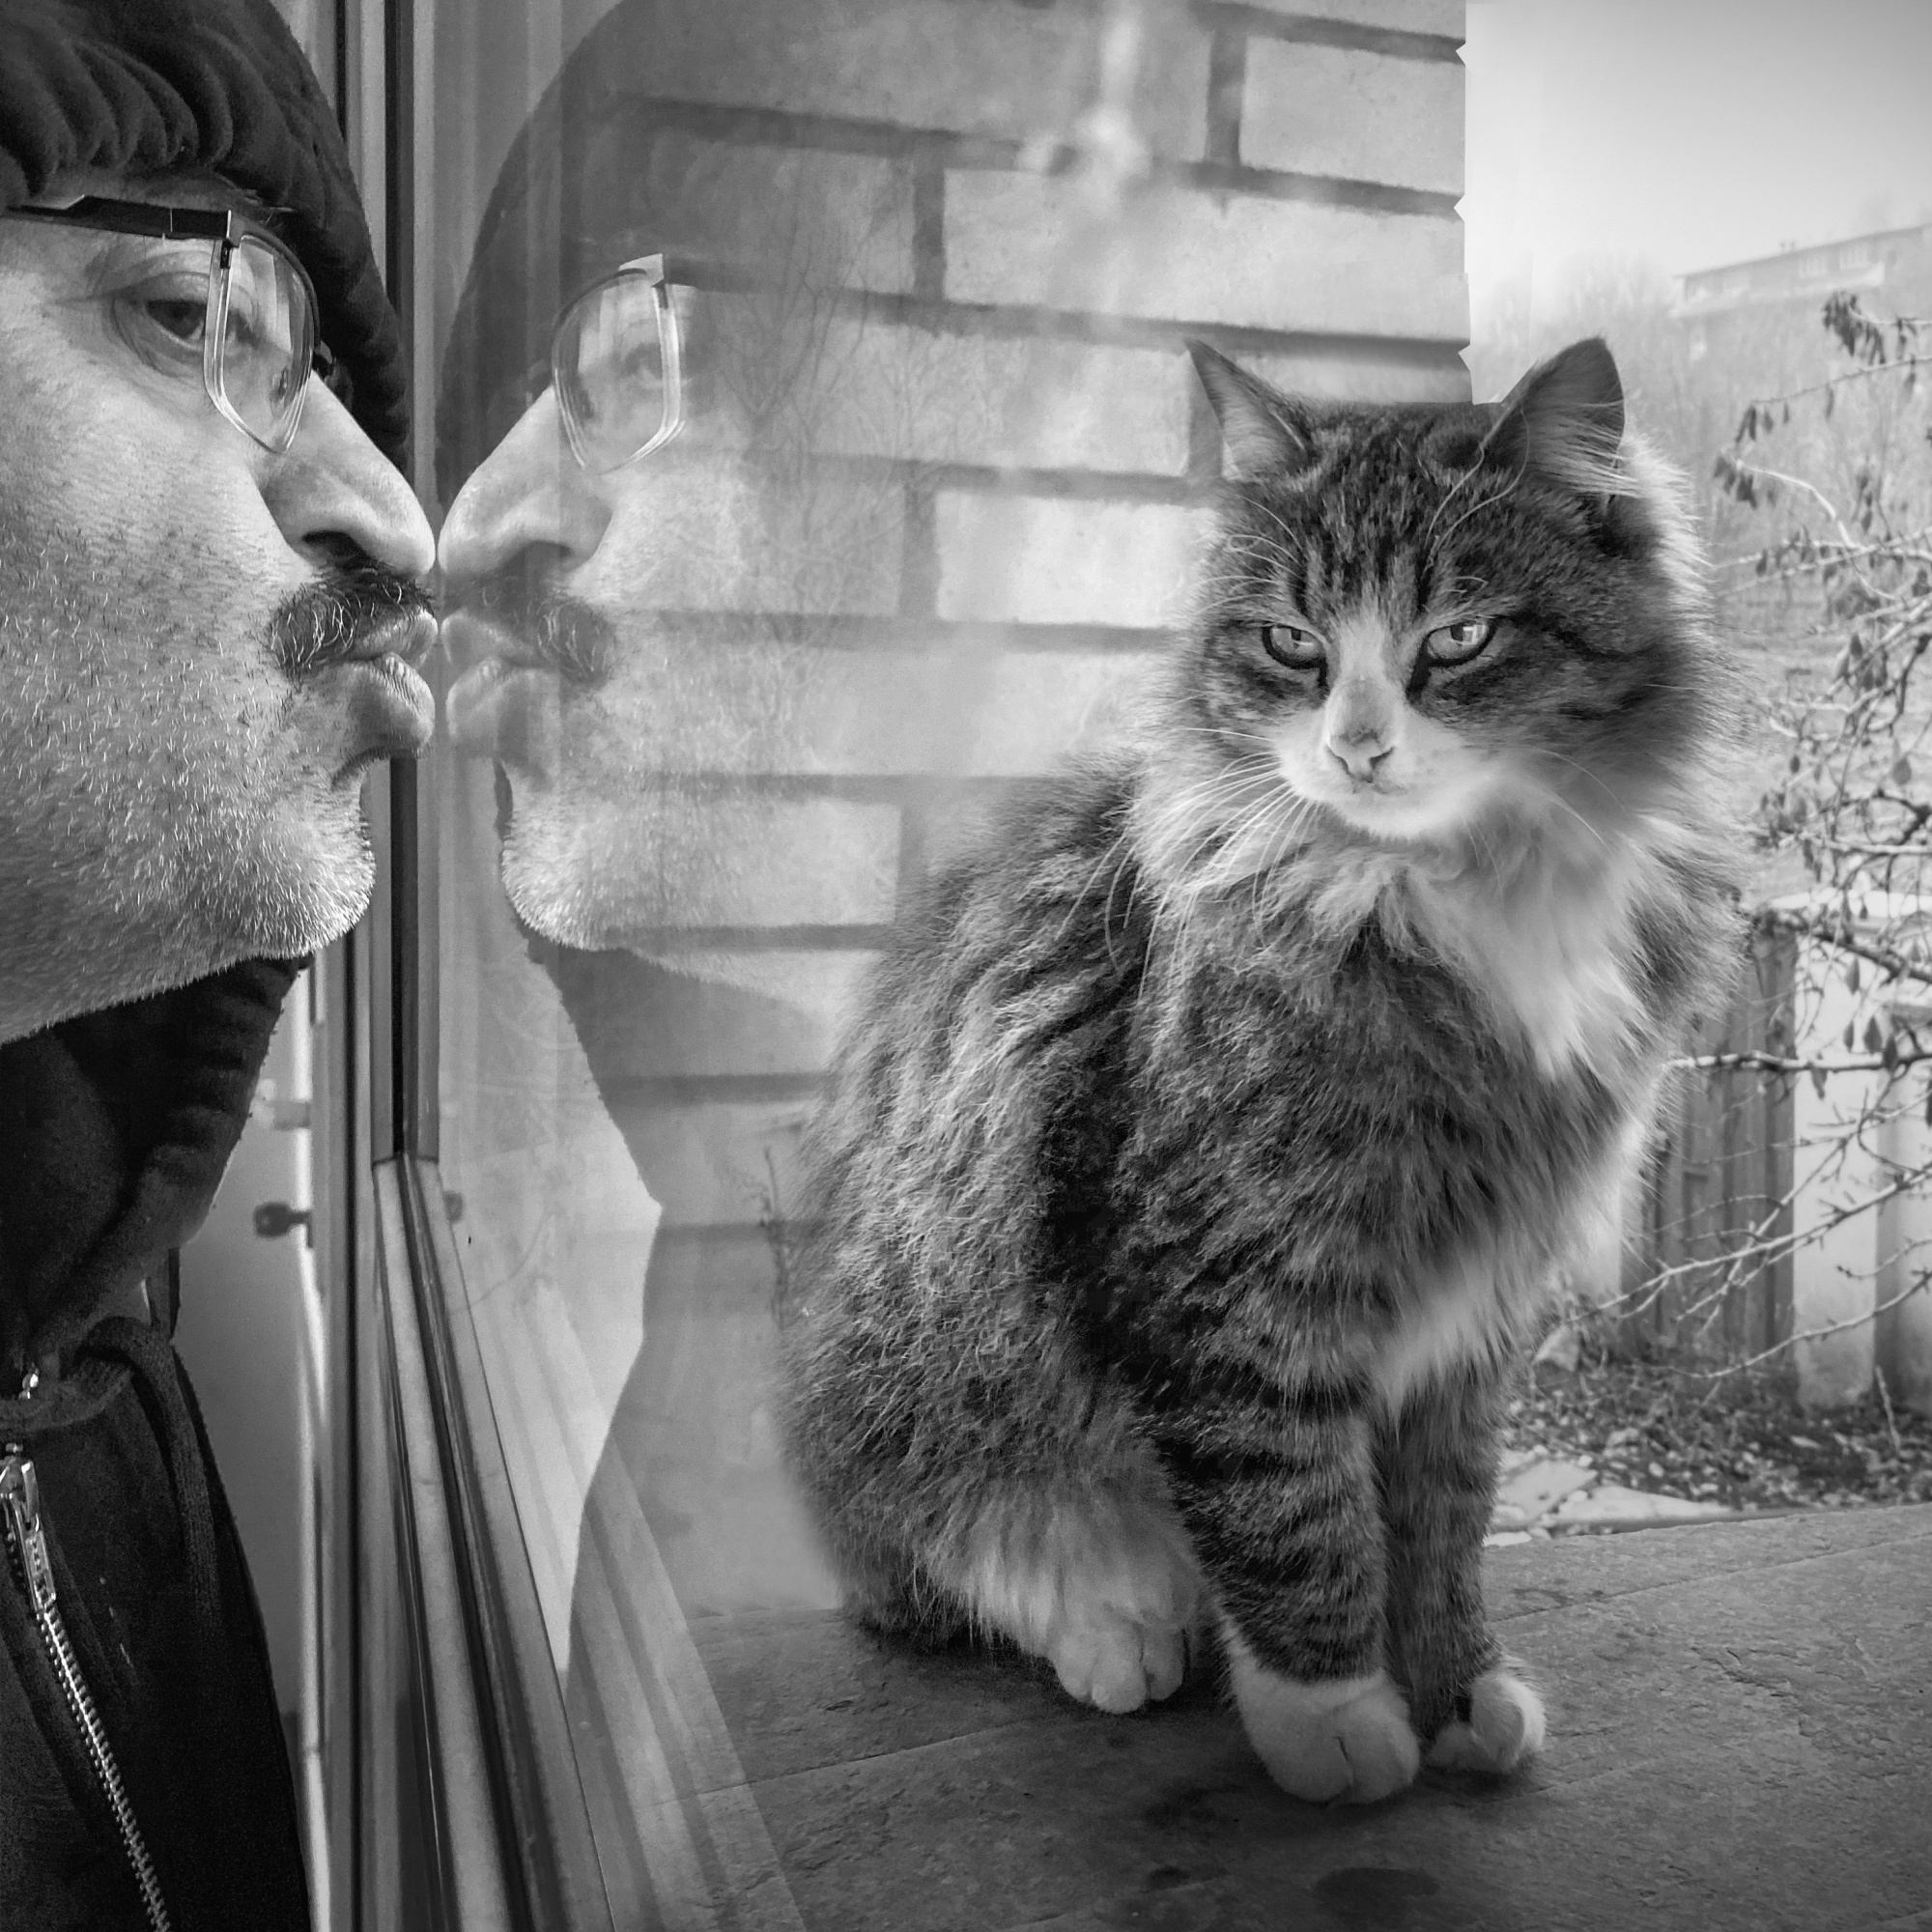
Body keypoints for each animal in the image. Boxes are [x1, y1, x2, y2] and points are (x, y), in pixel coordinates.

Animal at [777, 337, 1743, 1802]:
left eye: (1456, 639)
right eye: (1295, 645)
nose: (1356, 746)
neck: (1445, 893)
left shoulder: (1475, 1305)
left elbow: (1441, 1526)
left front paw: (1456, 1690)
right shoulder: (1230, 1279)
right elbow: (1292, 1511)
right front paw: (1332, 1717)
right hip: (915, 1373)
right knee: (958, 1550)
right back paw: (1121, 1628)